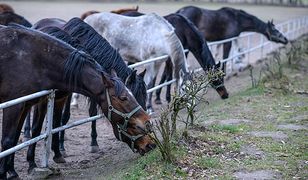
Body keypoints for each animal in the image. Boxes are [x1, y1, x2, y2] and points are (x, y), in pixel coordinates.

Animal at [0, 24, 154, 179]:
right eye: (123, 97)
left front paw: (16, 169)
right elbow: (8, 141)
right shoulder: (15, 105)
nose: (147, 125)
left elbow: (26, 135)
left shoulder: (34, 103)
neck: (34, 59)